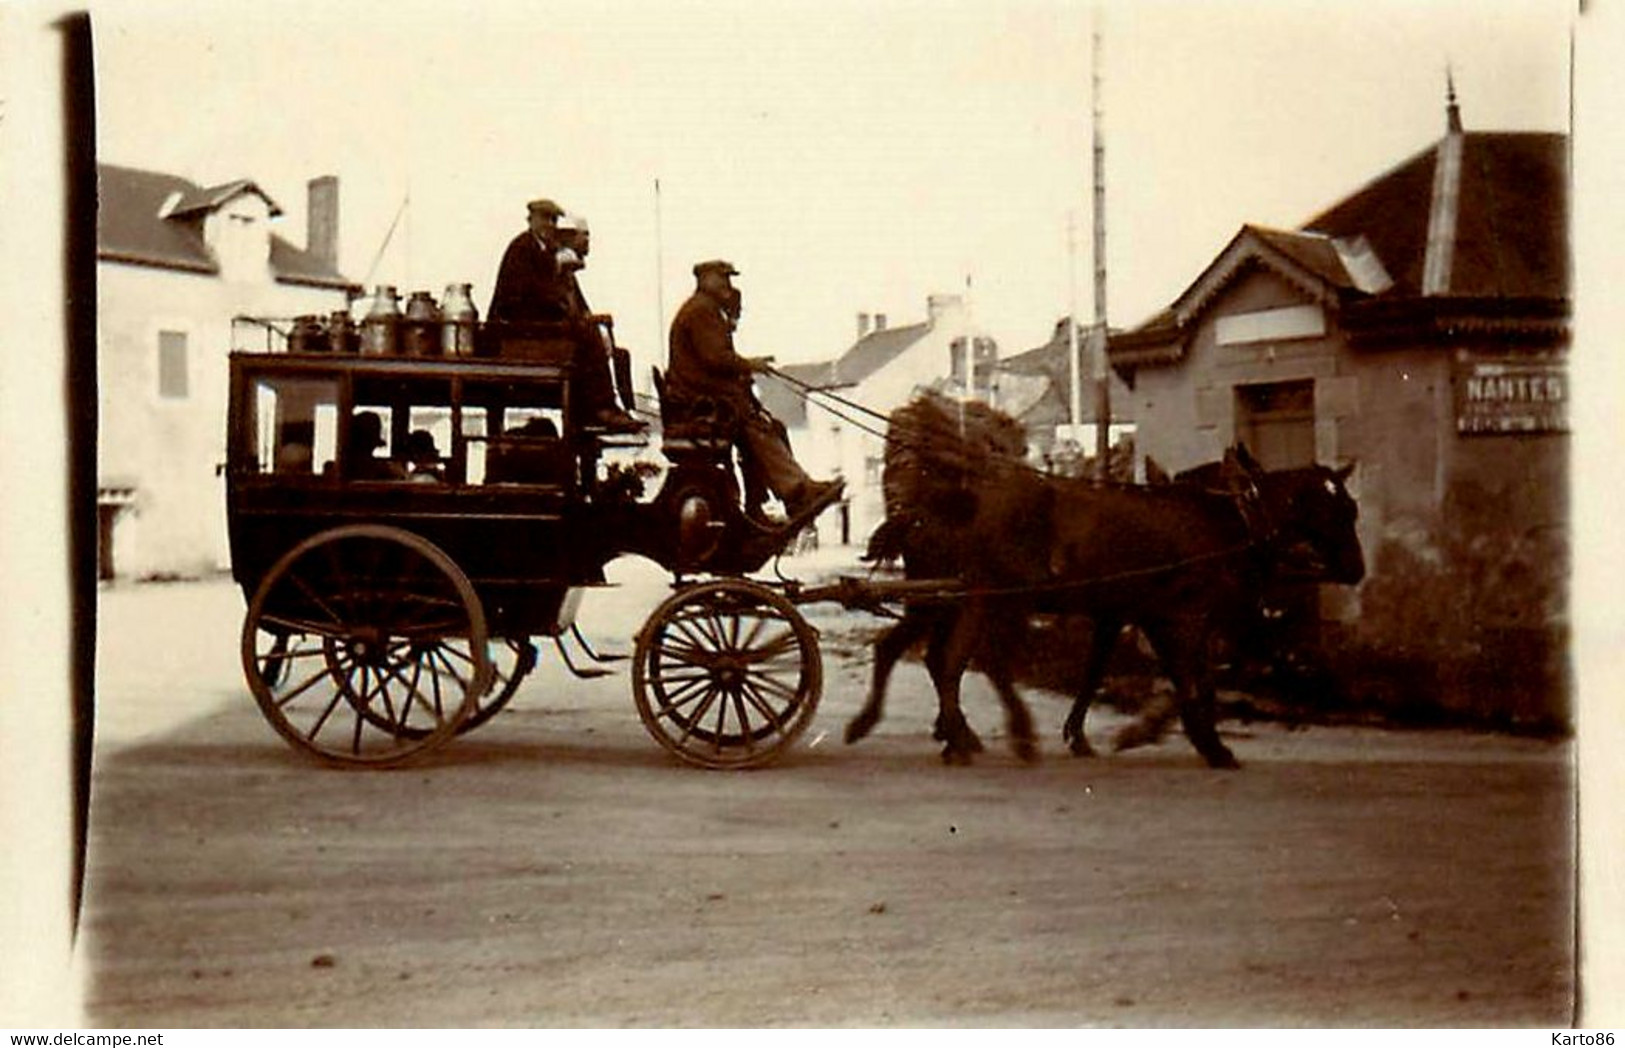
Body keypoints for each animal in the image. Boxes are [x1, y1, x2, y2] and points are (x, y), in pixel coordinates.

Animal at [845, 393, 1365, 766]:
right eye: (1337, 510)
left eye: (1351, 508)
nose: (1357, 569)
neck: (1226, 517)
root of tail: (935, 503)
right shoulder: (1183, 614)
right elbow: (1196, 678)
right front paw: (1201, 743)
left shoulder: (1130, 612)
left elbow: (1113, 672)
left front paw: (1094, 734)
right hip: (989, 597)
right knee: (966, 662)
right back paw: (997, 735)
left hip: (952, 598)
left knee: (923, 655)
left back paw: (929, 731)